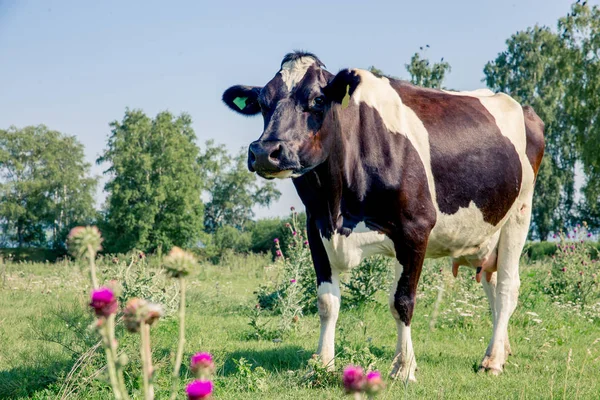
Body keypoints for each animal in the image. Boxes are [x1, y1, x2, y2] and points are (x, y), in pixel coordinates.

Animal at [223, 50, 548, 382]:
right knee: (491, 285)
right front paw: (322, 362)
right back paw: (502, 349)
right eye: (263, 102)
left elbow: (402, 301)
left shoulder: (414, 229)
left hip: (519, 214)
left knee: (508, 287)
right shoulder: (316, 228)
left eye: (317, 99)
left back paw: (492, 360)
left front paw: (403, 367)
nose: (265, 152)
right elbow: (327, 301)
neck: (337, 205)